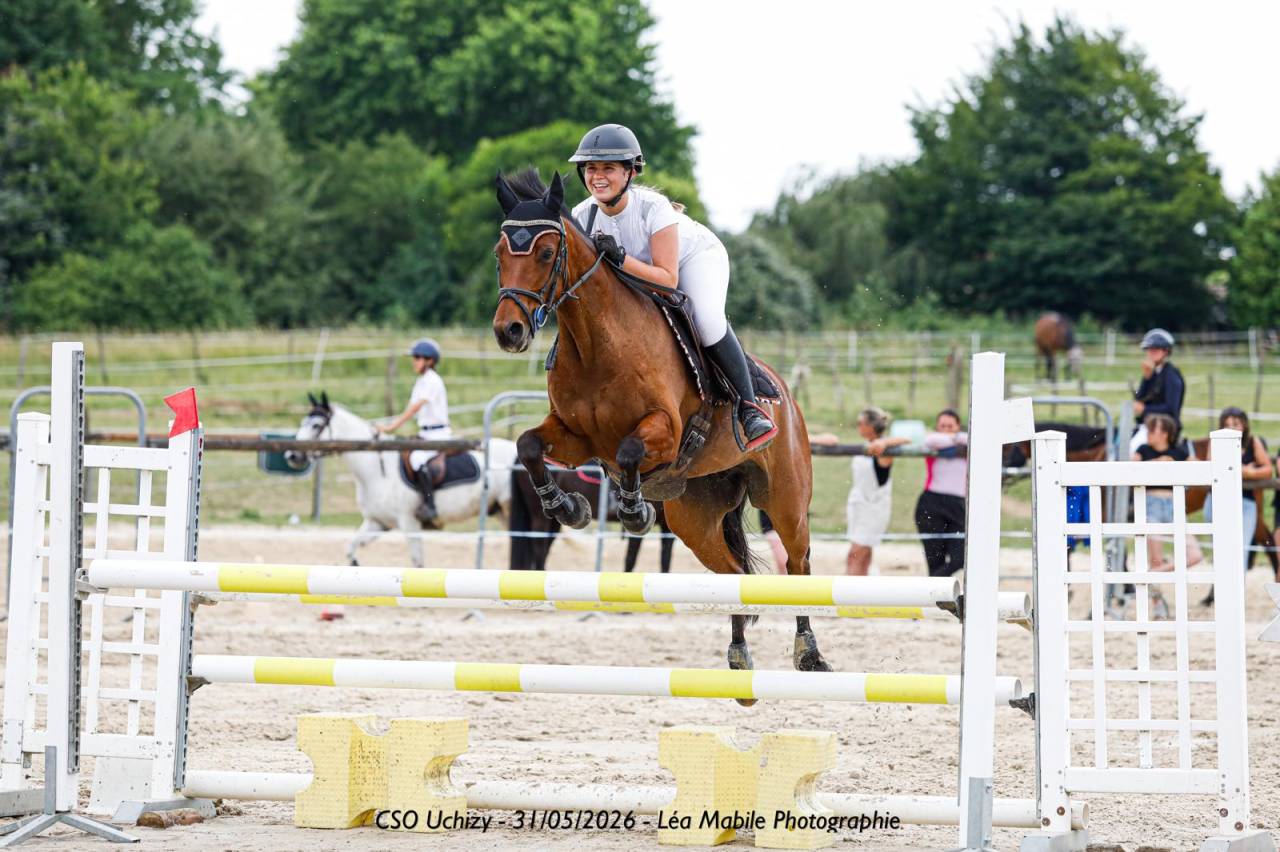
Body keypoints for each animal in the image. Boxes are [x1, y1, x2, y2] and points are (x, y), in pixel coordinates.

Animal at [284, 393, 518, 568]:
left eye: (316, 425)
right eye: (303, 422)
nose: (292, 456)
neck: (375, 472)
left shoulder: (409, 523)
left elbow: (417, 562)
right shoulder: (377, 522)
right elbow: (350, 548)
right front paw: (355, 565)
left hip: (508, 510)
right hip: (499, 511)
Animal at [508, 467, 673, 572]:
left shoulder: (667, 528)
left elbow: (665, 559)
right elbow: (630, 558)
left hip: (554, 522)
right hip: (539, 517)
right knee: (539, 546)